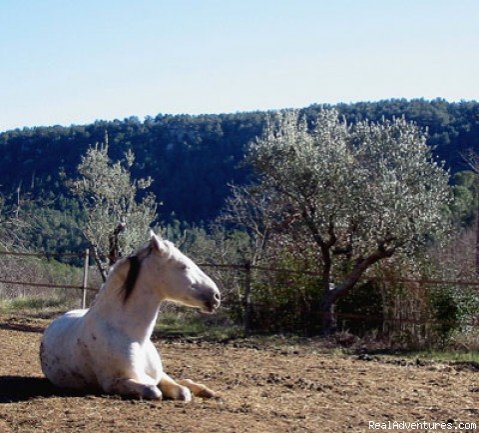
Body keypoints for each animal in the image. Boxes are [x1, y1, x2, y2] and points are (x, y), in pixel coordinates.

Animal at [40, 231, 222, 400]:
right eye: (183, 266)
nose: (216, 296)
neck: (133, 337)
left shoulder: (157, 376)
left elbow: (182, 391)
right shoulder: (115, 382)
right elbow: (155, 391)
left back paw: (207, 391)